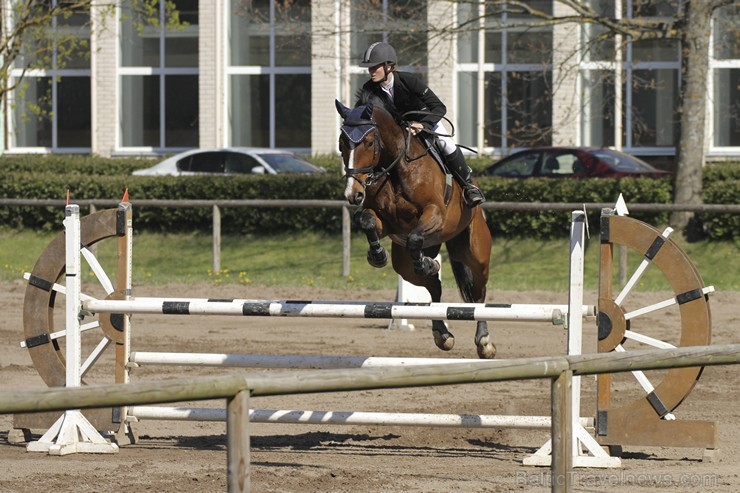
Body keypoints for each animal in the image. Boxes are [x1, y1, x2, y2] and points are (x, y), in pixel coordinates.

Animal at [336, 96, 498, 358]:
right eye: (342, 145)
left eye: (369, 143)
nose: (353, 194)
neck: (396, 168)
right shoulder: (388, 224)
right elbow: (368, 221)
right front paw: (377, 255)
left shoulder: (435, 214)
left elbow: (414, 237)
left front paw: (426, 263)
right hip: (404, 266)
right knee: (434, 287)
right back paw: (442, 333)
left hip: (475, 253)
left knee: (478, 293)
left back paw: (484, 342)